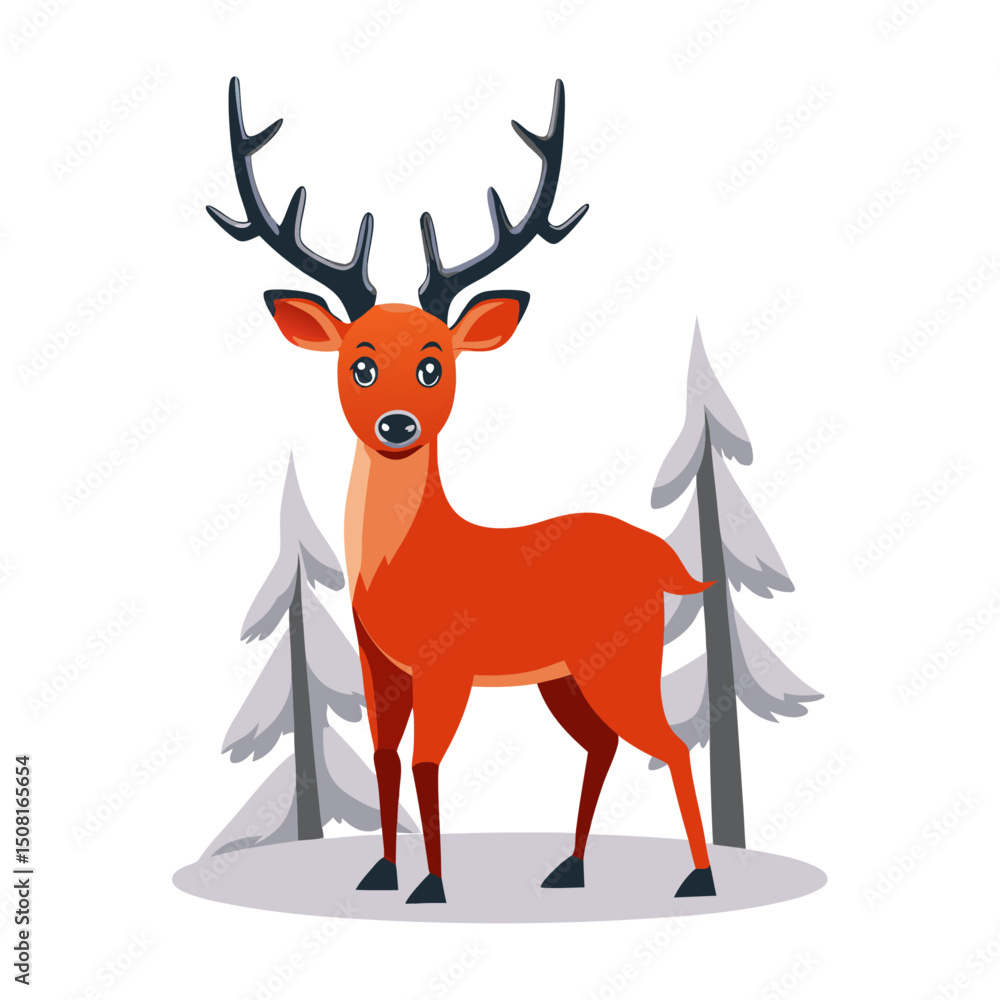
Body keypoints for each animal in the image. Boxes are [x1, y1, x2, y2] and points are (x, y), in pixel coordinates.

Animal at [208, 77, 718, 904]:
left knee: (666, 743)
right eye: (359, 363)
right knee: (603, 746)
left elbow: (427, 760)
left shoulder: (448, 663)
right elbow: (386, 757)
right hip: (565, 677)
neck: (406, 568)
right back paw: (568, 869)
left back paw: (697, 878)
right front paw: (382, 873)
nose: (397, 424)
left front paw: (432, 887)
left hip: (619, 659)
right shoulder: (379, 662)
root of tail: (665, 561)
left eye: (432, 364)